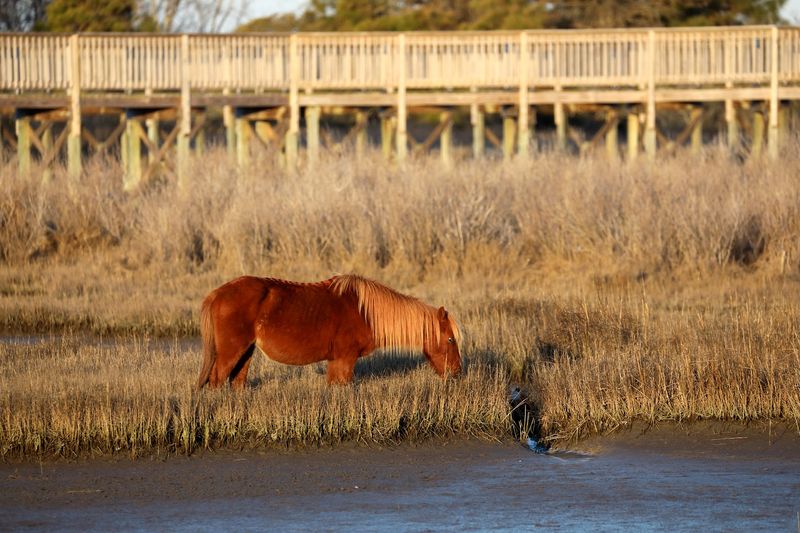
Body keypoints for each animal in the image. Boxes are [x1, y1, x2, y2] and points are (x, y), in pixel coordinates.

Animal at [196, 274, 461, 388]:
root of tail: (217, 294)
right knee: (217, 380)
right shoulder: (345, 360)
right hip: (231, 352)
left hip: (246, 352)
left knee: (237, 381)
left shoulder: (336, 361)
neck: (365, 311)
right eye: (450, 339)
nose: (457, 372)